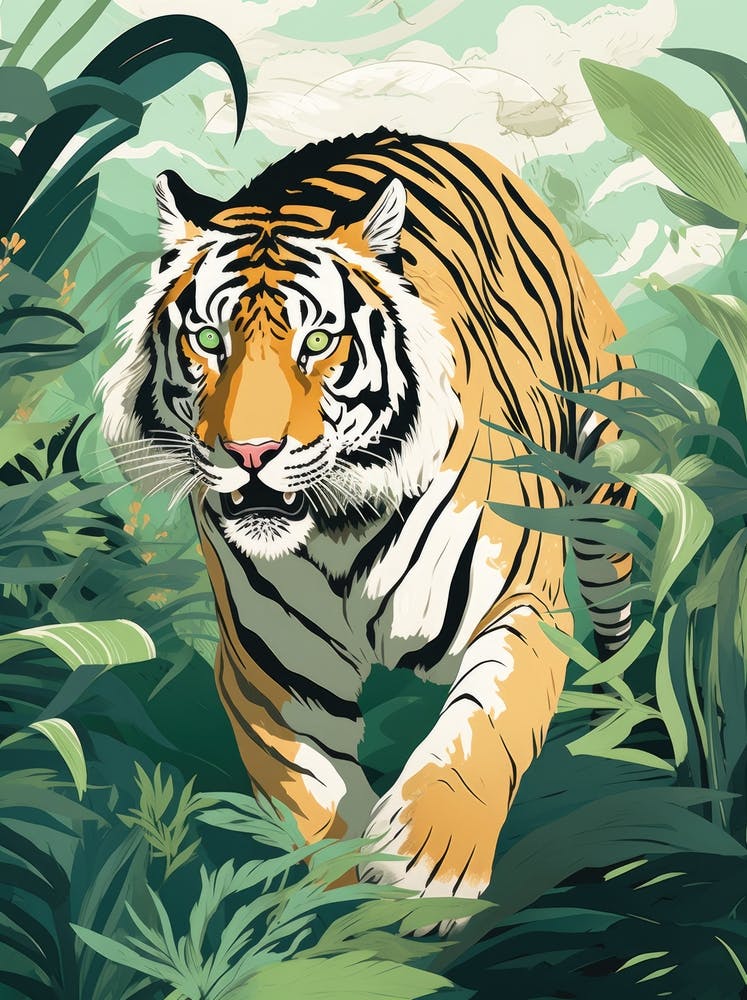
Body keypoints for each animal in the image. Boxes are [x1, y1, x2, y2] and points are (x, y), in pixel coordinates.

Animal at [99, 127, 634, 924]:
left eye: (317, 343)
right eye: (208, 340)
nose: (250, 453)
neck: (337, 532)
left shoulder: (521, 607)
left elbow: (482, 726)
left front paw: (426, 864)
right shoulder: (270, 671)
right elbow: (310, 796)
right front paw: (335, 908)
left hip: (605, 471)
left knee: (616, 612)